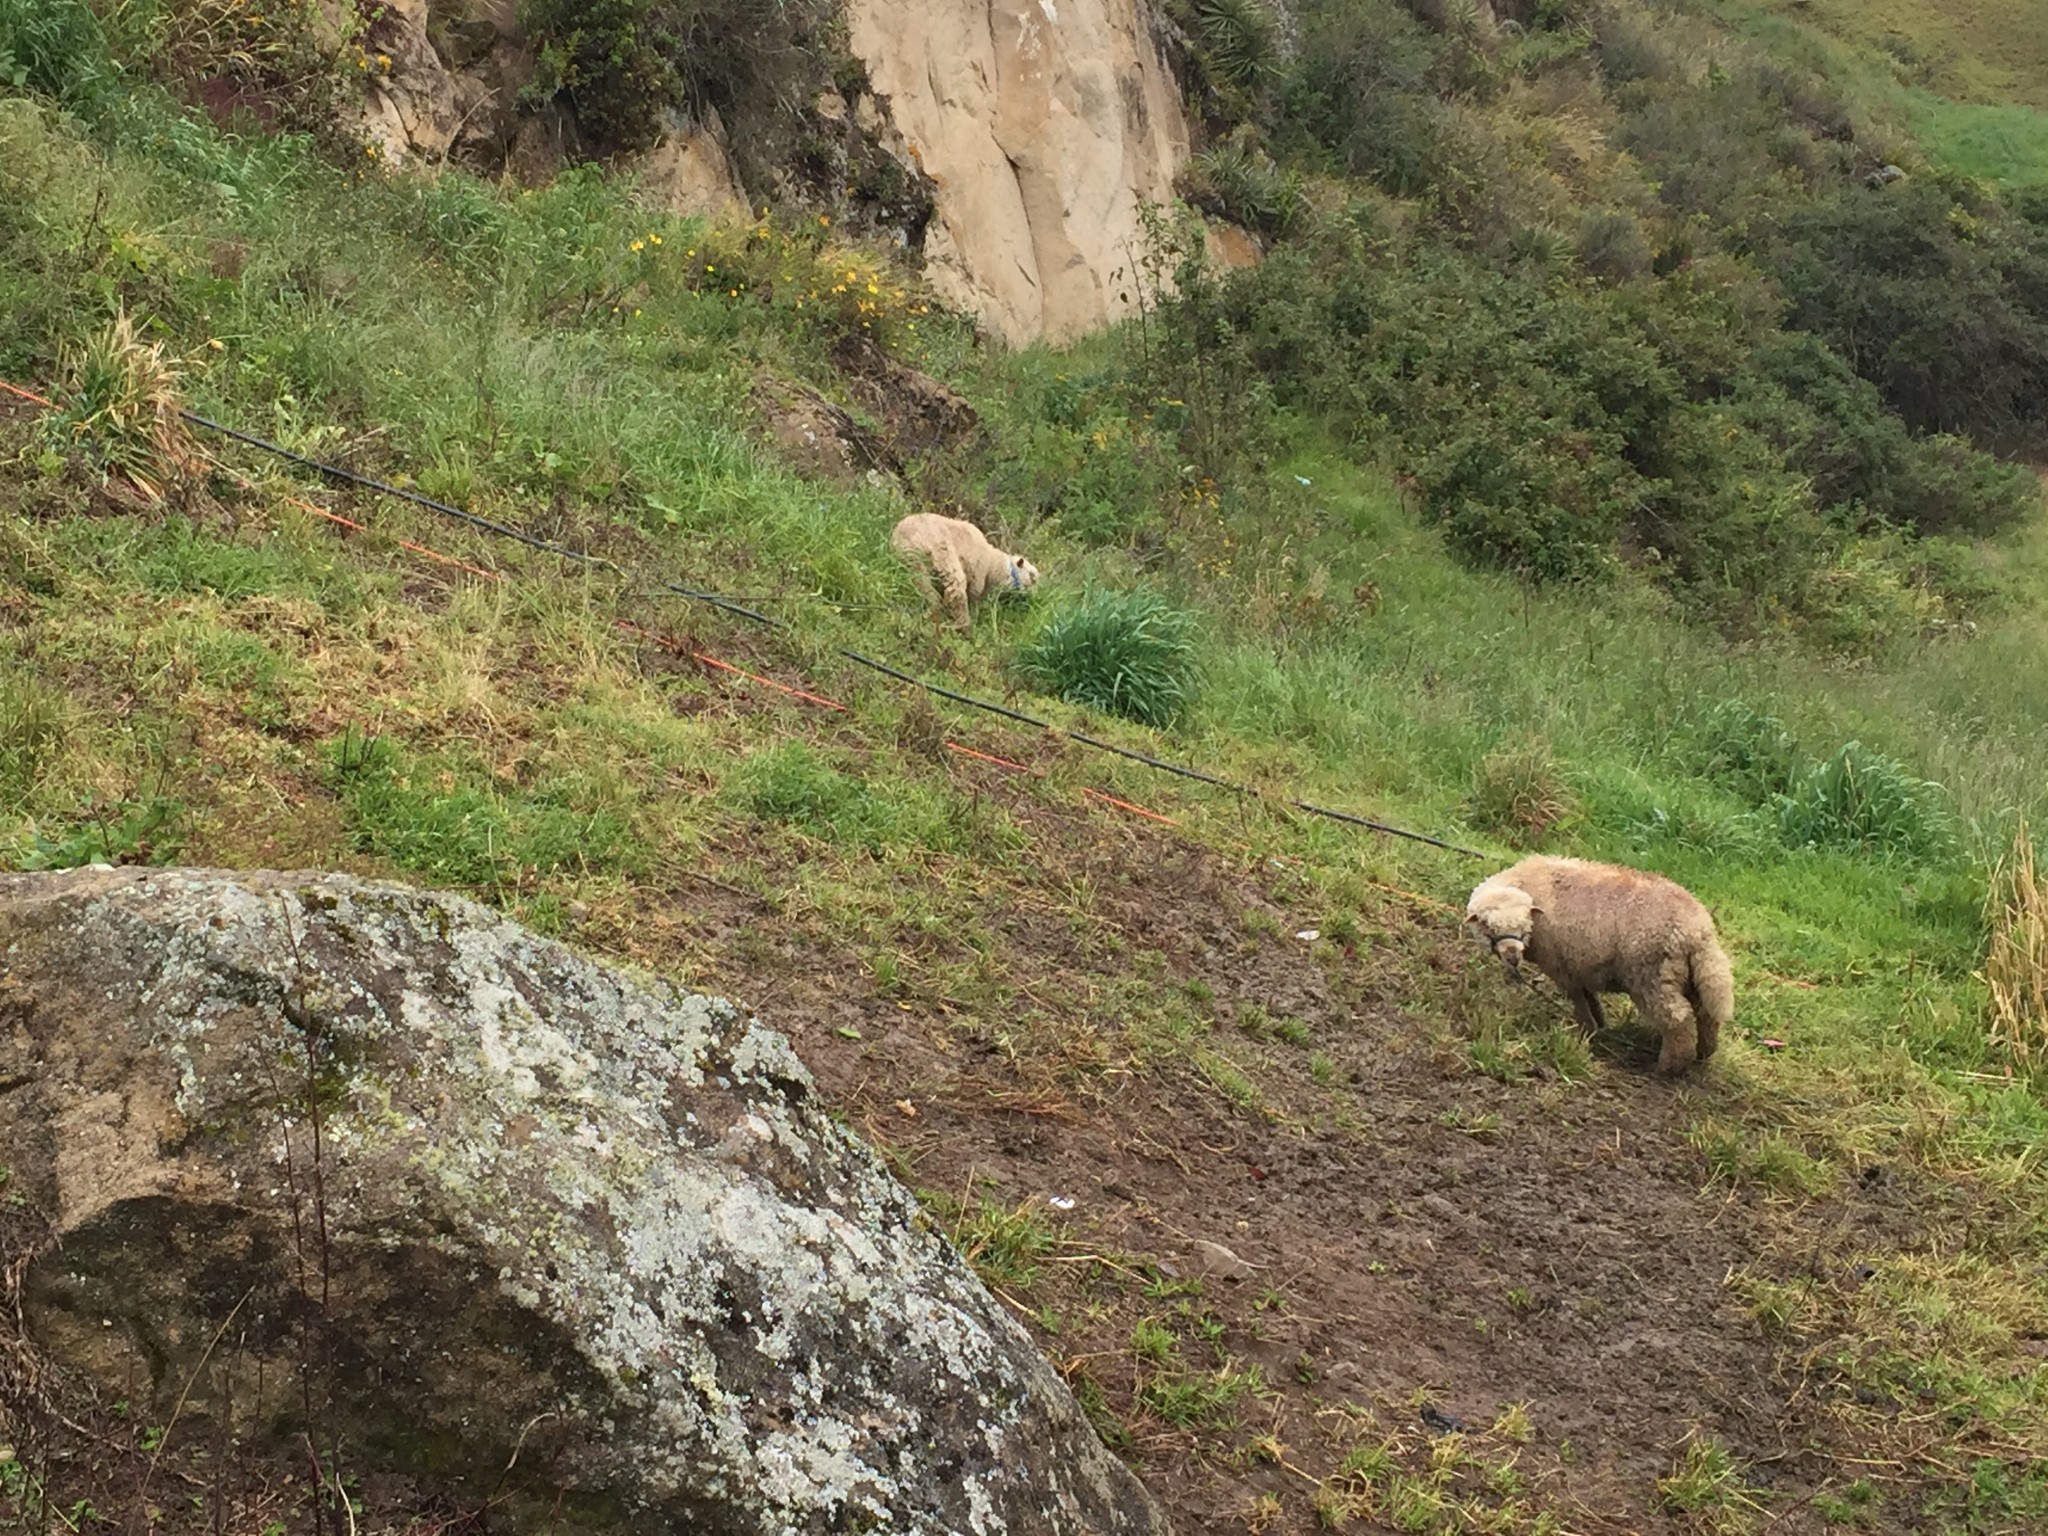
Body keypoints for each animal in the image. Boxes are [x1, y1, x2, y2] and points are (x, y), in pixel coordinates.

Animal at [892, 514, 1040, 634]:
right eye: (1032, 577)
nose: (1033, 599)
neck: (992, 565)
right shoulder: (977, 578)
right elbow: (973, 596)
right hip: (944, 557)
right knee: (954, 592)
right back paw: (963, 626)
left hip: (913, 562)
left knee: (924, 585)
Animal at [1466, 860, 1736, 1073]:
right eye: (1488, 926)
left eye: (1524, 925)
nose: (1512, 958)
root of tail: (1697, 931)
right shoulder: (1578, 964)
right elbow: (1588, 995)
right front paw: (1599, 1022)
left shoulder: (1560, 965)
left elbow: (1577, 997)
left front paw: (1587, 1029)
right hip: (1687, 973)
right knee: (1705, 1013)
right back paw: (1704, 1052)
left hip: (1651, 976)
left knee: (1677, 1018)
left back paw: (1668, 1067)